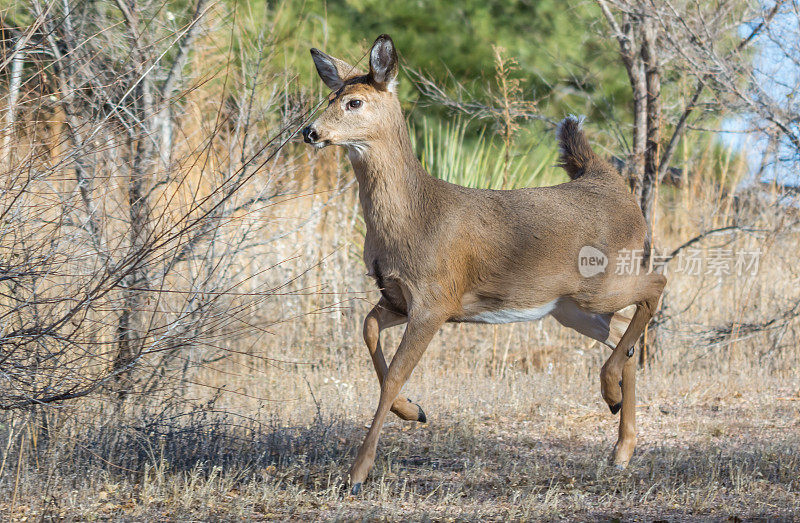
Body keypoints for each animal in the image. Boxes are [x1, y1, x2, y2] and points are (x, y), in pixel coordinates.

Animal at [300, 34, 664, 494]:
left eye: (355, 102)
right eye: (330, 96)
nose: (310, 131)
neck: (415, 216)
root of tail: (613, 185)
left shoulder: (435, 298)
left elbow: (395, 375)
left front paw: (358, 472)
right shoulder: (401, 297)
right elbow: (367, 331)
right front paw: (413, 410)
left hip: (599, 283)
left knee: (656, 284)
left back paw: (612, 397)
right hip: (570, 308)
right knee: (624, 333)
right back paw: (621, 448)